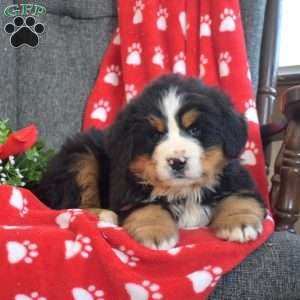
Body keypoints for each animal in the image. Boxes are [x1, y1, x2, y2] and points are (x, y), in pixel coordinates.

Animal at [35, 74, 264, 250]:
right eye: (155, 135)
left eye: (195, 130)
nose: (177, 161)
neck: (183, 192)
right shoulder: (129, 192)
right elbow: (148, 207)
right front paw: (156, 234)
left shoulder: (235, 178)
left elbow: (239, 197)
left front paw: (239, 223)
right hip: (81, 157)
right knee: (71, 206)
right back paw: (105, 216)